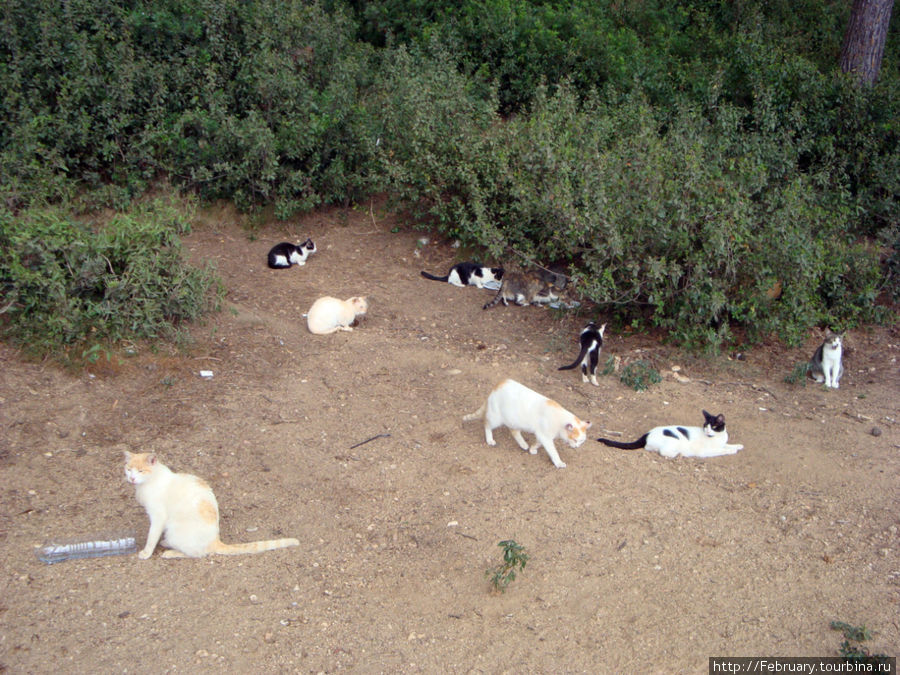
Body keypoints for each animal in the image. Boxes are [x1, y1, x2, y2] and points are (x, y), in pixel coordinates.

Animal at [123, 454, 300, 560]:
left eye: (140, 471)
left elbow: (151, 537)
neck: (148, 483)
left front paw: (146, 553)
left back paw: (170, 551)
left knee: (196, 553)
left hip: (175, 530)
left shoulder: (158, 517)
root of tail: (216, 540)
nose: (132, 478)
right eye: (129, 470)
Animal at [464, 380, 592, 470]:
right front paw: (559, 463)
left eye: (581, 441)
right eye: (575, 440)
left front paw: (532, 449)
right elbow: (553, 451)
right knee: (486, 423)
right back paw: (490, 440)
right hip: (496, 418)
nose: (577, 447)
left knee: (514, 431)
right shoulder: (545, 437)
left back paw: (523, 444)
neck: (559, 421)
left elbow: (538, 443)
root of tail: (497, 385)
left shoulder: (542, 436)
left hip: (513, 420)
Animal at [596, 412, 744, 460]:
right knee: (661, 451)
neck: (718, 437)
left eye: (712, 427)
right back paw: (679, 454)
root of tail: (647, 434)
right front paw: (732, 450)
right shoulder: (707, 451)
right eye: (705, 426)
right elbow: (722, 450)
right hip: (674, 442)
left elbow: (727, 445)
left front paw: (738, 446)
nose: (707, 432)